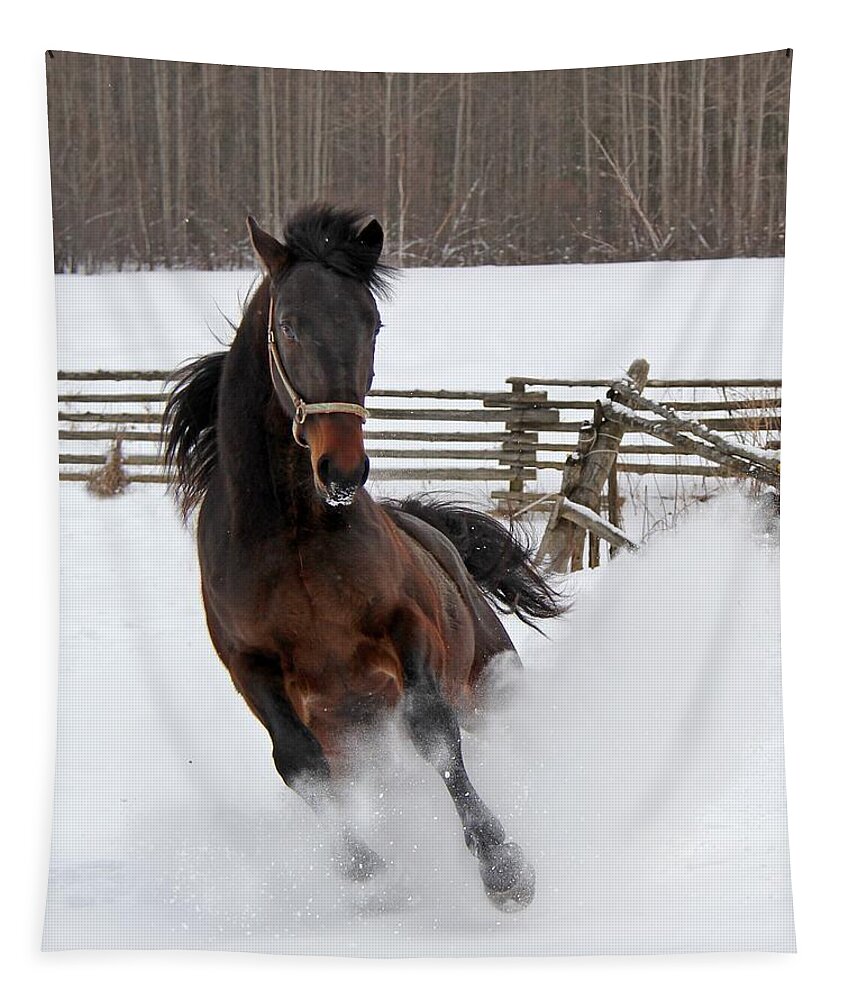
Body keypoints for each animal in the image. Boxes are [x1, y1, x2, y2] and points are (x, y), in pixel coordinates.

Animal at [165, 207, 564, 912]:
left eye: (371, 323)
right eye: (290, 326)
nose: (343, 469)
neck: (294, 539)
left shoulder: (405, 628)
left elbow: (432, 729)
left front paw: (504, 868)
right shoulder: (252, 667)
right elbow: (300, 764)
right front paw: (366, 871)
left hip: (489, 683)